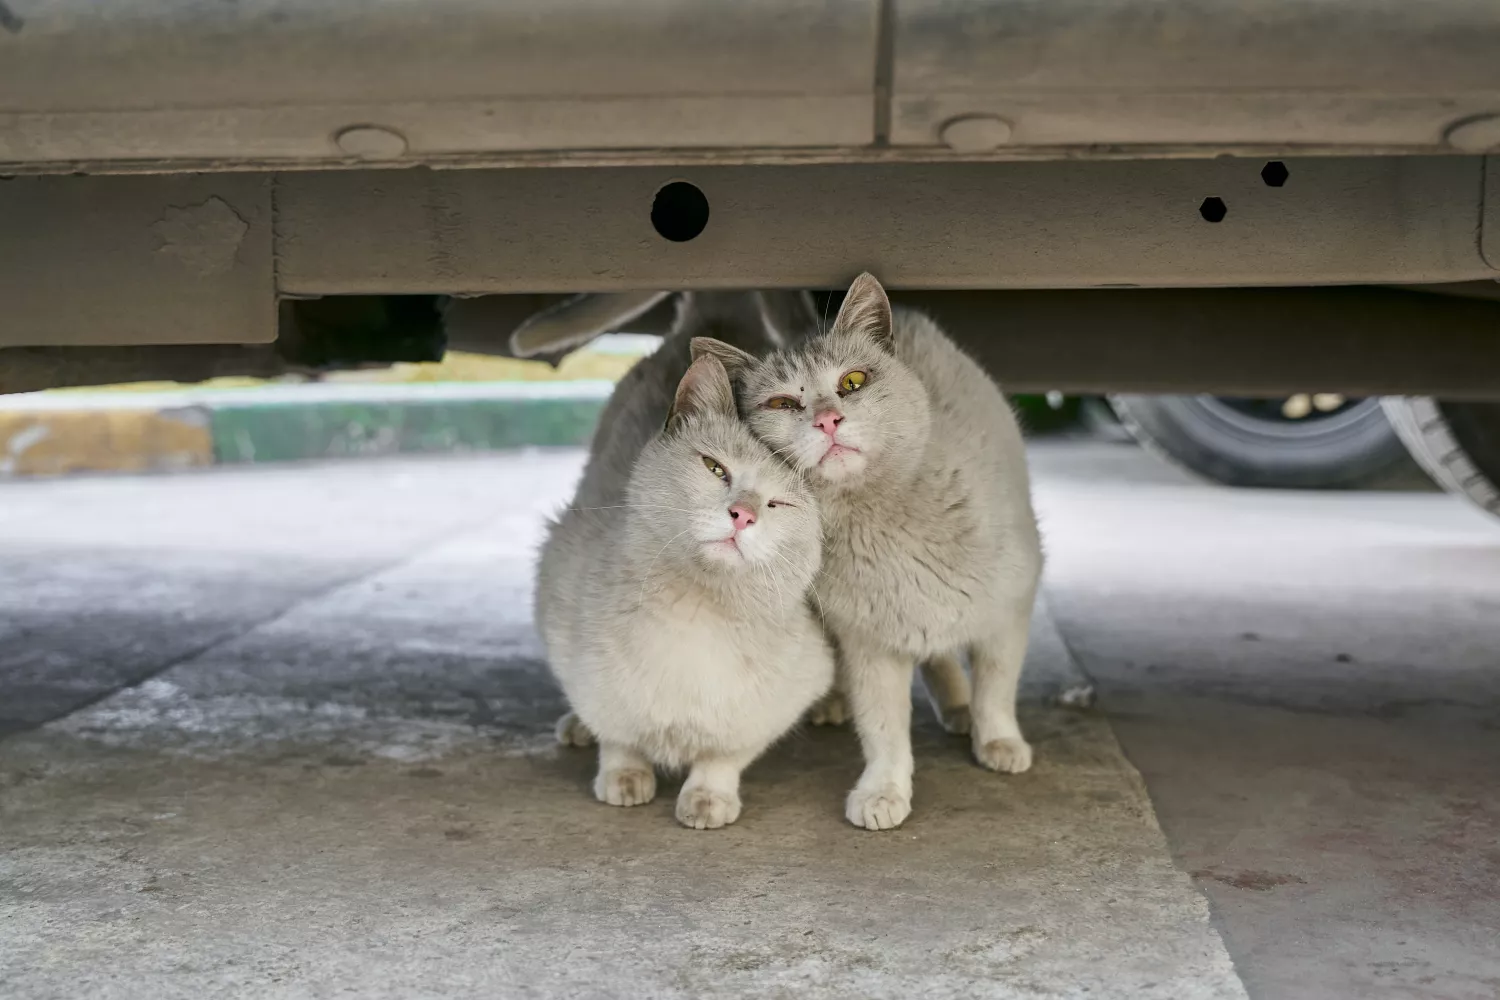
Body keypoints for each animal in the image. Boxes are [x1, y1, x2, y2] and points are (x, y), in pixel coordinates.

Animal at [534, 293, 835, 829]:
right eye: (715, 469)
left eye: (780, 504)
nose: (742, 515)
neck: (696, 613)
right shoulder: (563, 616)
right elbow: (618, 732)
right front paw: (624, 776)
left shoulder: (782, 695)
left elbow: (723, 754)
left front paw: (707, 797)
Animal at [692, 273, 1043, 831]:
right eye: (783, 404)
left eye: (853, 383)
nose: (828, 421)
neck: (881, 520)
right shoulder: (869, 646)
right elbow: (883, 728)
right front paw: (884, 790)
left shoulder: (1011, 607)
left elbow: (997, 686)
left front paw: (999, 741)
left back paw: (962, 710)